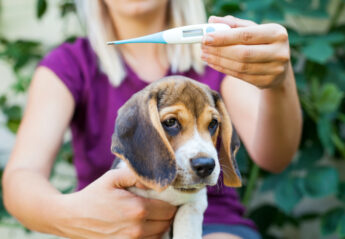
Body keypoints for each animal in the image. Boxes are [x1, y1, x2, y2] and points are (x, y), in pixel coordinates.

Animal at [111, 76, 241, 239]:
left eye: (213, 123)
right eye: (171, 122)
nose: (205, 166)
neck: (168, 191)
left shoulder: (196, 200)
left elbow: (188, 216)